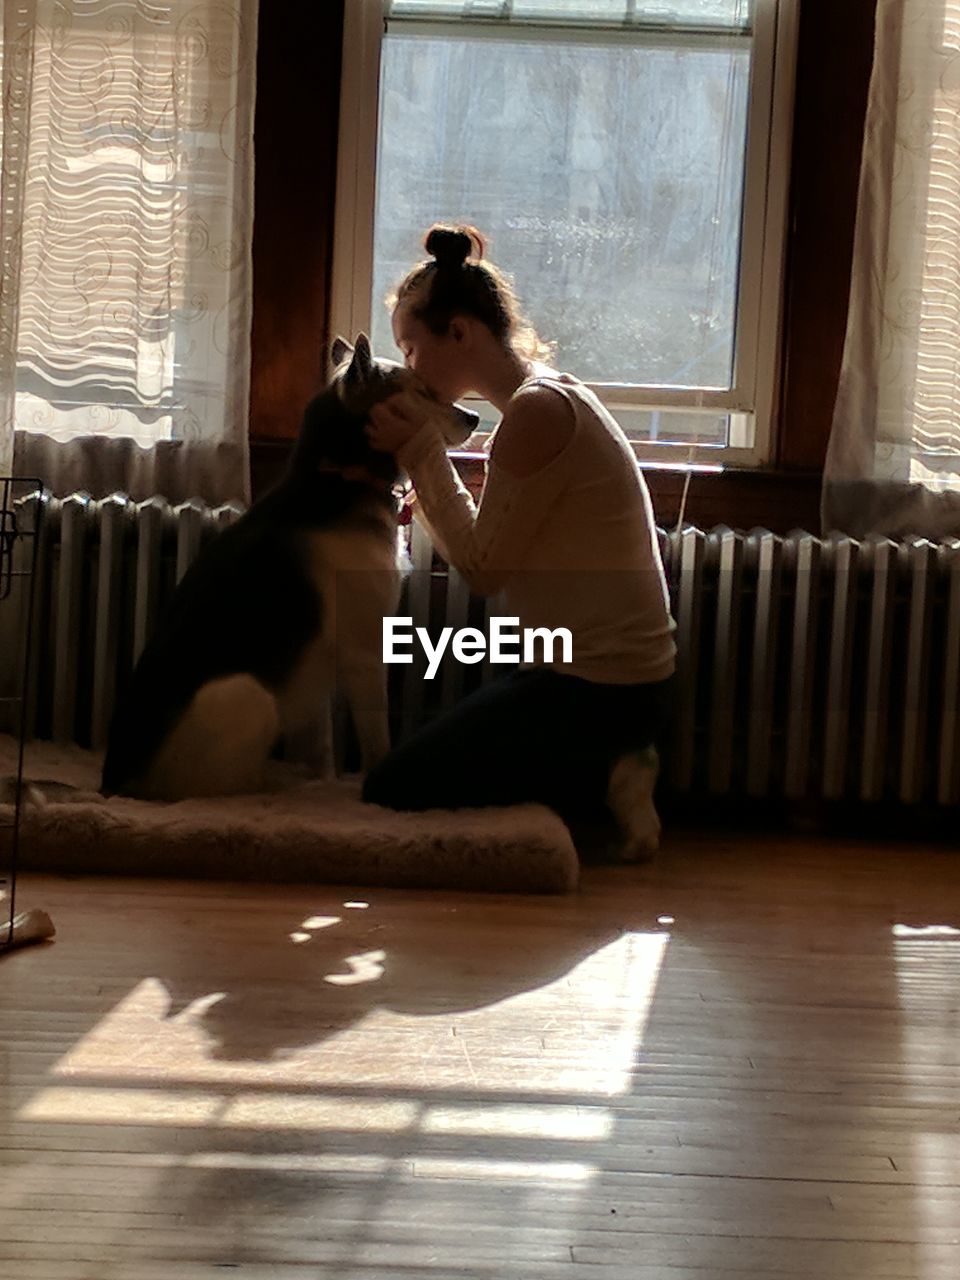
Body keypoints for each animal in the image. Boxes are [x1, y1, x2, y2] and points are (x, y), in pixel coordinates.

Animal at [101, 340, 481, 798]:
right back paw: (284, 786)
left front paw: (327, 778)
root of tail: (117, 782)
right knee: (229, 787)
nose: (476, 418)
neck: (340, 477)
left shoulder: (319, 670)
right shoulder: (365, 653)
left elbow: (324, 748)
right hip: (249, 693)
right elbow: (376, 741)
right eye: (423, 390)